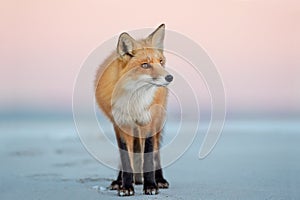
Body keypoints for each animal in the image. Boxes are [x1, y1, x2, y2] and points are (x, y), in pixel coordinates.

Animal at [95, 24, 172, 196]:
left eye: (160, 61)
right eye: (145, 65)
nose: (170, 77)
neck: (134, 101)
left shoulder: (148, 121)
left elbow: (148, 157)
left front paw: (150, 185)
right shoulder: (121, 124)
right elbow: (125, 159)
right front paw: (126, 186)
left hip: (157, 123)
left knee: (156, 153)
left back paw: (160, 179)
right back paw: (118, 181)